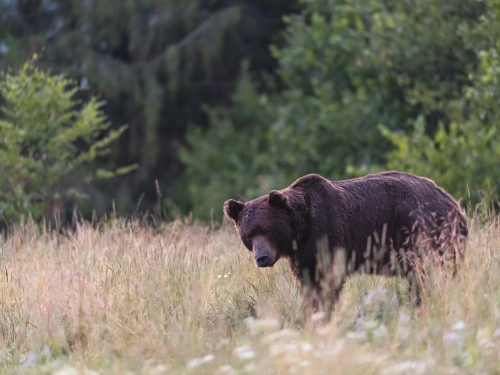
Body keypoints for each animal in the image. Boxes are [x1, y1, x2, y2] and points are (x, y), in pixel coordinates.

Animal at [225, 173, 466, 314]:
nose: (262, 258)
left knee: (427, 277)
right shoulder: (304, 256)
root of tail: (454, 203)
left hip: (423, 234)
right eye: (248, 236)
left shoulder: (329, 235)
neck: (301, 229)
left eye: (268, 230)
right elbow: (309, 283)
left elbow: (328, 281)